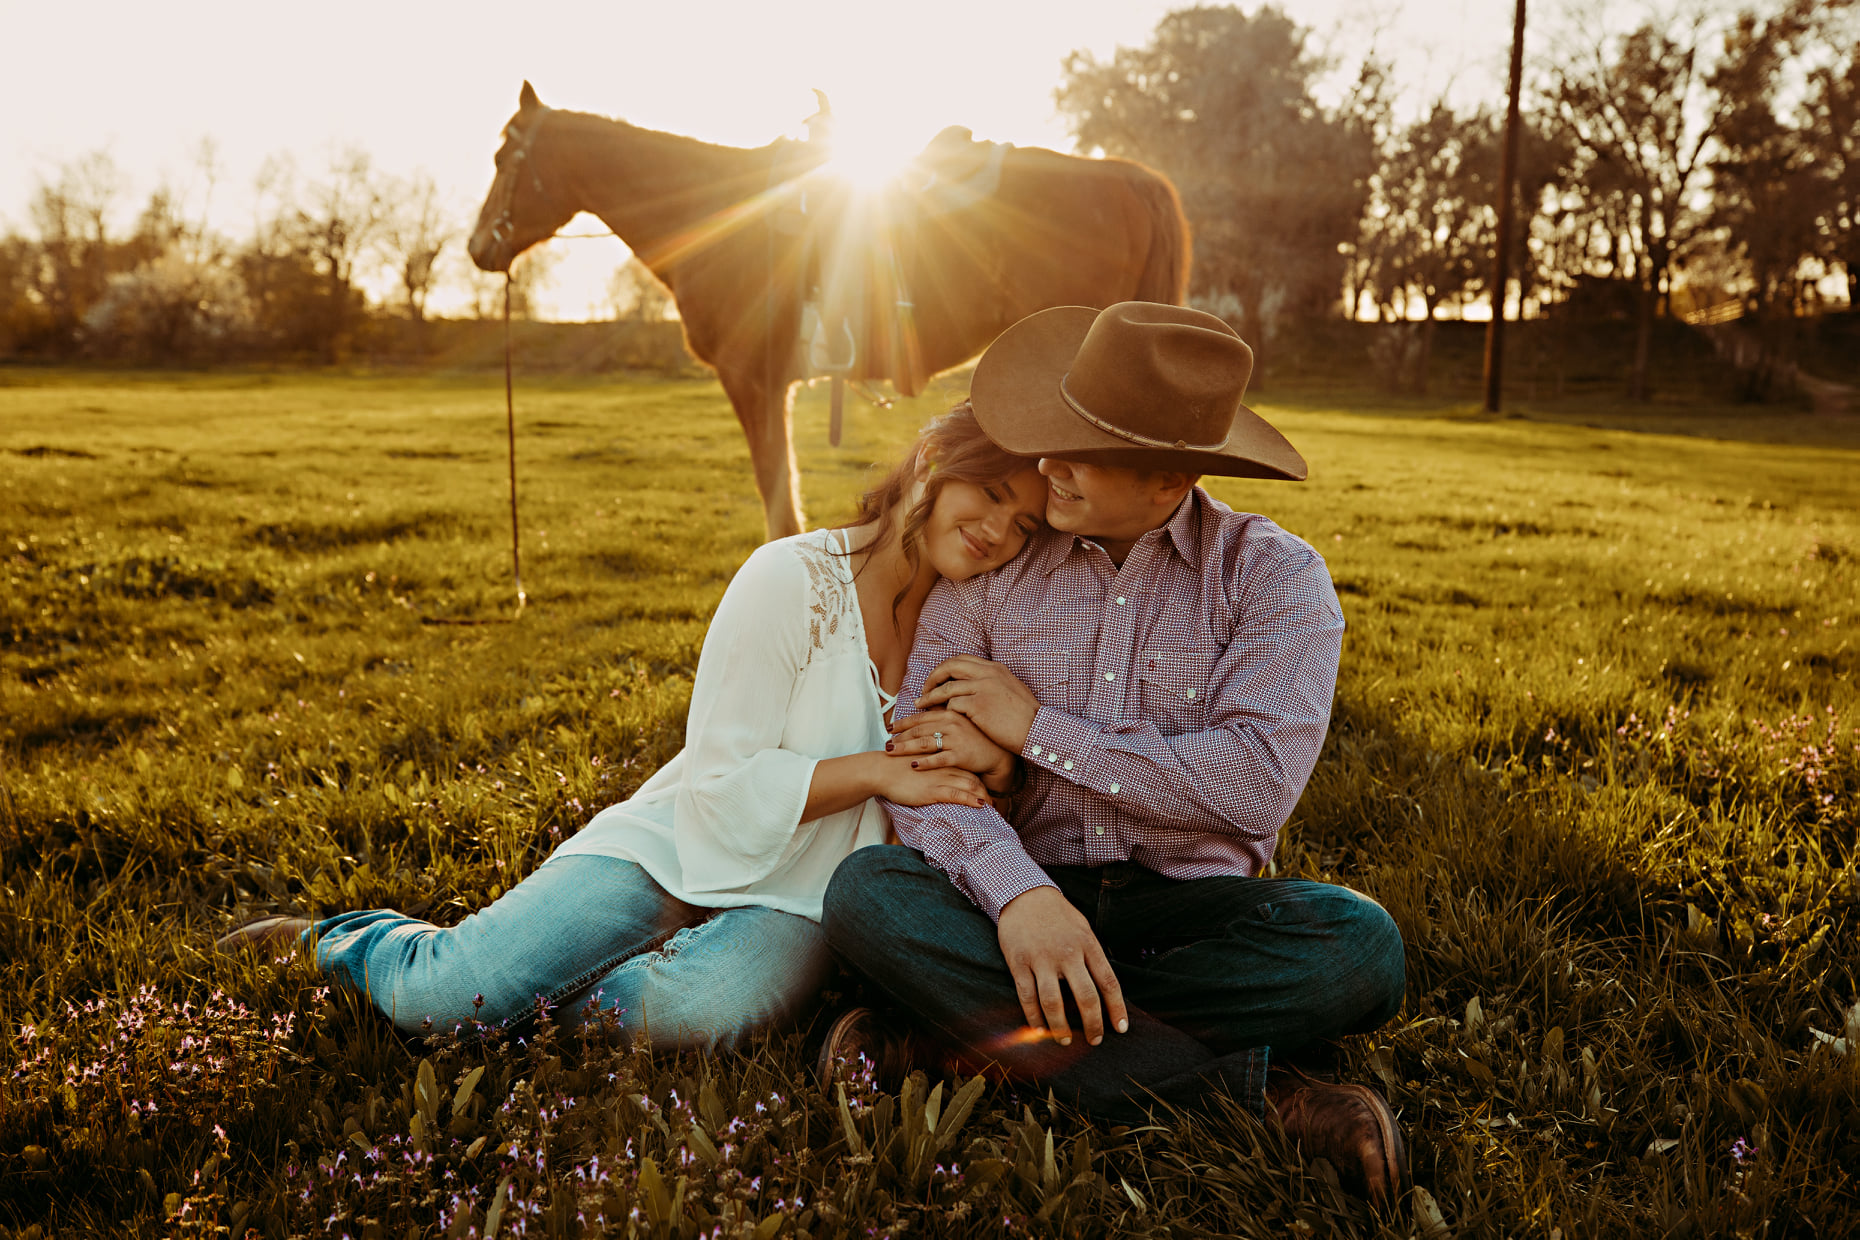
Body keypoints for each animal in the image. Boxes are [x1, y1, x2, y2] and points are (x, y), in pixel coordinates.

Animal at [468, 81, 1190, 539]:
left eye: (504, 155)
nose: (478, 247)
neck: (717, 214)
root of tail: (1129, 177)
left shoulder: (752, 381)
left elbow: (777, 503)